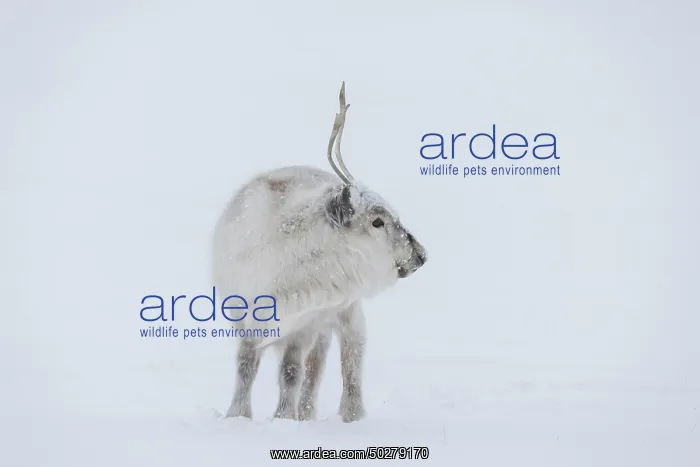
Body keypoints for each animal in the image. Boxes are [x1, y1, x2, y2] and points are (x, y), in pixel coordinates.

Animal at [212, 82, 427, 423]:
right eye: (377, 221)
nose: (420, 254)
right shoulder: (244, 314)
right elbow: (246, 365)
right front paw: (238, 415)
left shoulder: (306, 323)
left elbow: (292, 371)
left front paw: (284, 418)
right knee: (319, 363)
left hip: (344, 312)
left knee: (348, 356)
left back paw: (348, 414)